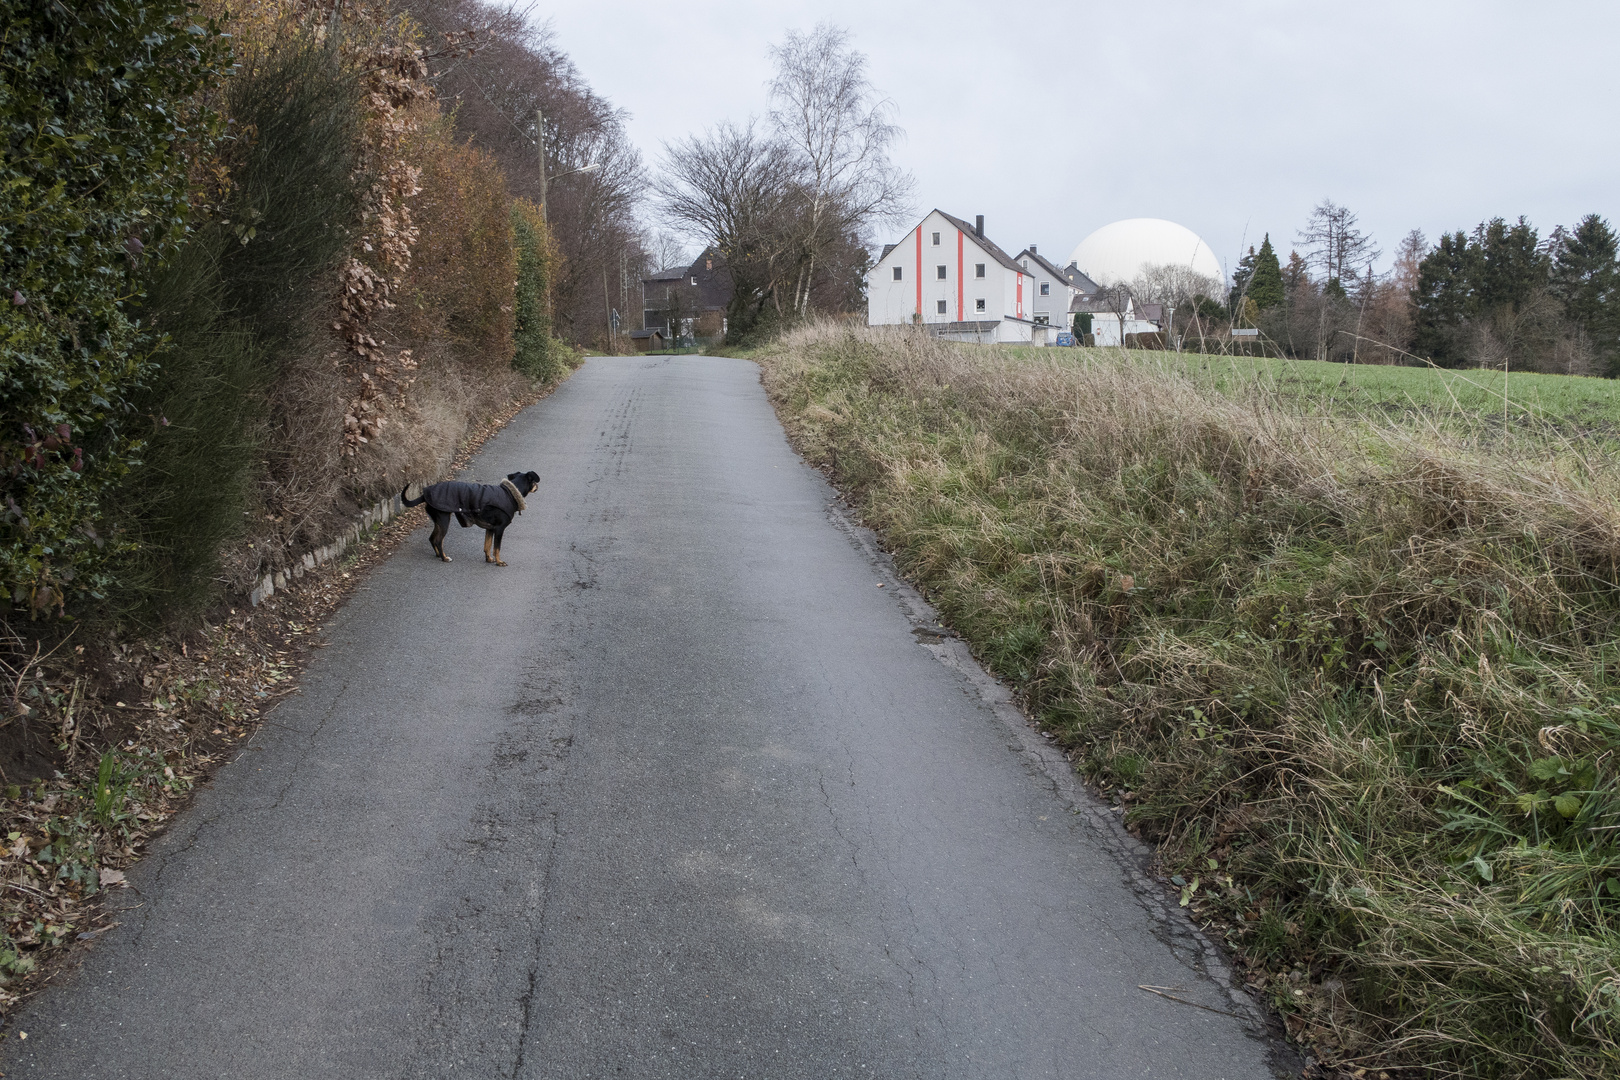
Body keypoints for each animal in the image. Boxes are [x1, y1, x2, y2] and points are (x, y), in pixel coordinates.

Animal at [398, 476, 537, 573]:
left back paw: (439, 555)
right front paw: (499, 562)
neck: (509, 493)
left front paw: (488, 559)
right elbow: (496, 548)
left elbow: (487, 546)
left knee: (432, 538)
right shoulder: (499, 529)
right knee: (437, 540)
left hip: (439, 521)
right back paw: (444, 558)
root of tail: (425, 495)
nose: (537, 486)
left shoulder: (490, 529)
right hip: (444, 520)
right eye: (535, 482)